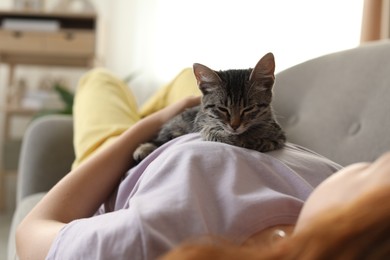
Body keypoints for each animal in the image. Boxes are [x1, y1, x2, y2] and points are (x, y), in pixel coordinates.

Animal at [133, 52, 284, 162]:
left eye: (249, 108)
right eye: (222, 109)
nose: (235, 126)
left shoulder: (279, 136)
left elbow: (264, 141)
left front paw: (248, 140)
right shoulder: (202, 121)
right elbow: (210, 129)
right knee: (161, 138)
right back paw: (143, 149)